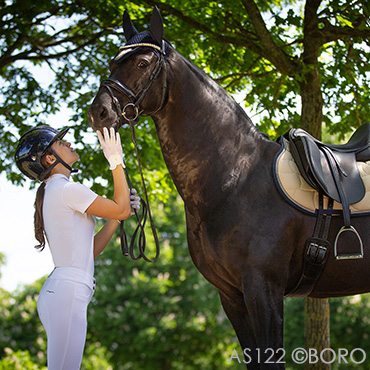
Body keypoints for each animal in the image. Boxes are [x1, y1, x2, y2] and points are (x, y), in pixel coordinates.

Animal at [89, 7, 370, 368]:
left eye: (142, 63)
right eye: (114, 62)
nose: (98, 112)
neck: (236, 177)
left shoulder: (263, 290)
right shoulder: (231, 296)